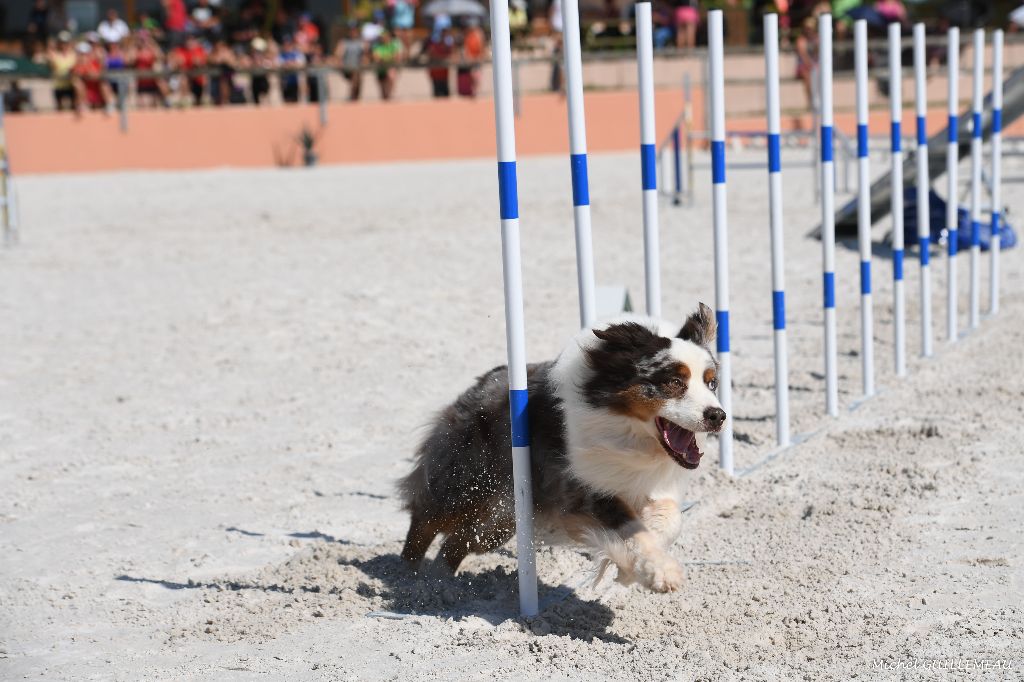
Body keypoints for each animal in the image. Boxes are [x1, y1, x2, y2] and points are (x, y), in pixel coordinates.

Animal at [399, 303, 729, 589]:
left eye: (711, 383)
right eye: (674, 382)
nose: (718, 415)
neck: (629, 434)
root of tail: (482, 382)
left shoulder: (649, 485)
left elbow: (668, 520)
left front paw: (633, 568)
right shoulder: (585, 489)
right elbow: (632, 529)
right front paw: (661, 572)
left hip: (501, 518)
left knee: (457, 543)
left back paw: (439, 585)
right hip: (468, 479)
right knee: (426, 516)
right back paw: (407, 577)